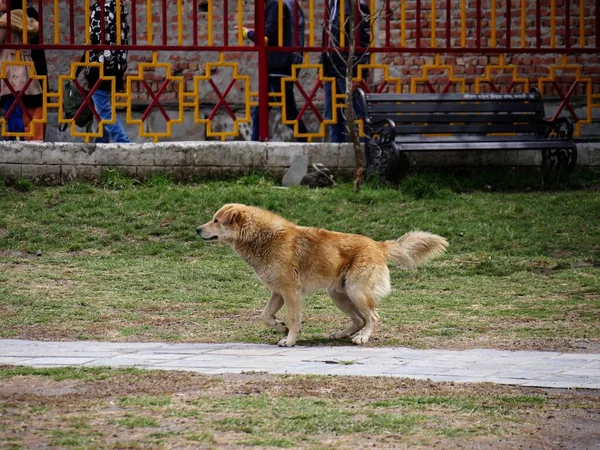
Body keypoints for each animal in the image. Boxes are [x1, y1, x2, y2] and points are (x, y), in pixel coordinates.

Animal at [197, 204, 446, 348]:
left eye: (216, 220)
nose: (197, 229)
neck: (263, 238)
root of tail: (378, 245)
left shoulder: (291, 293)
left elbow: (294, 319)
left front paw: (290, 339)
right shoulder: (277, 292)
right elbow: (265, 316)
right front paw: (281, 327)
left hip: (357, 293)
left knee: (372, 318)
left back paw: (362, 338)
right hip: (339, 296)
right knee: (359, 319)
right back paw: (340, 334)